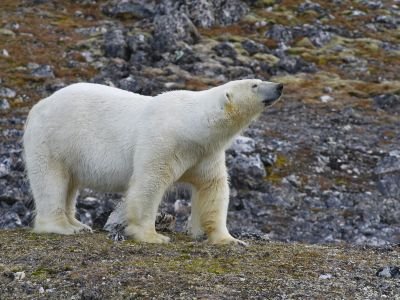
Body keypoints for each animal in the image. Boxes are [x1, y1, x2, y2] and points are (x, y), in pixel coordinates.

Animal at [23, 79, 282, 244]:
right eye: (254, 85)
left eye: (258, 79)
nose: (279, 86)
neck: (190, 125)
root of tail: (38, 105)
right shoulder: (163, 141)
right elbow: (149, 183)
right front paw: (153, 236)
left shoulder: (205, 153)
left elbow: (212, 188)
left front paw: (229, 239)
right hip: (53, 139)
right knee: (51, 180)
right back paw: (62, 227)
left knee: (70, 184)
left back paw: (78, 224)